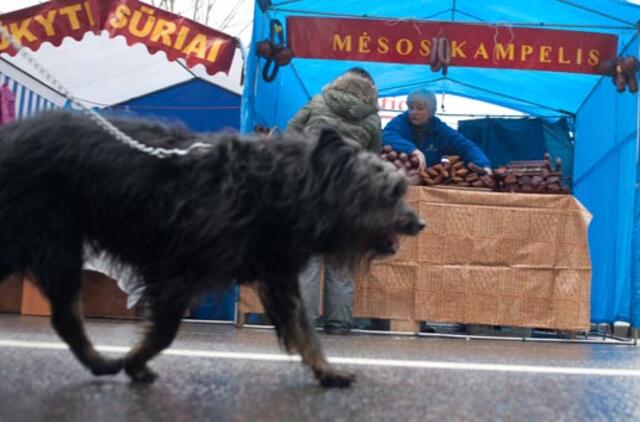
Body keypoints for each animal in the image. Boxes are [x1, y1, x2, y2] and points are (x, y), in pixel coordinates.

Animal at [0, 110, 424, 388]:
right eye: (392, 193)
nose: (419, 224)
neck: (284, 185)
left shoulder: (279, 273)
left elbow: (304, 329)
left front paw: (326, 369)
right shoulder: (175, 270)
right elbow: (164, 332)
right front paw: (134, 361)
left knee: (64, 316)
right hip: (50, 241)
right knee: (67, 316)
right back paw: (101, 362)